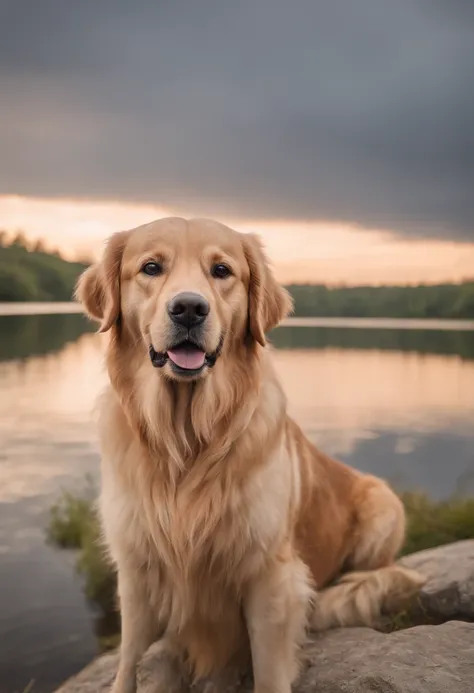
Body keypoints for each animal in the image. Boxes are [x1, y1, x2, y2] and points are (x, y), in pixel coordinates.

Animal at [76, 218, 424, 692]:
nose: (189, 308)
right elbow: (128, 659)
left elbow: (269, 670)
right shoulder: (136, 568)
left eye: (222, 270)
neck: (186, 439)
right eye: (150, 267)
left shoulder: (270, 575)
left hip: (383, 504)